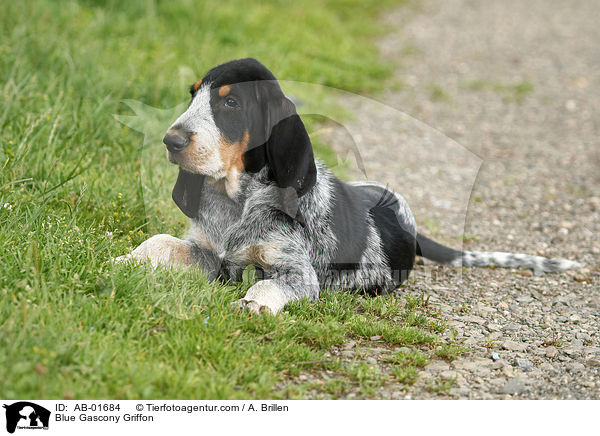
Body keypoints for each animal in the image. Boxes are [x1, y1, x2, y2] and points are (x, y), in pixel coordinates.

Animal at [116, 58, 580, 316]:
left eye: (230, 103)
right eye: (193, 95)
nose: (171, 141)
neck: (238, 200)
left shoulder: (296, 273)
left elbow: (269, 282)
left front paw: (256, 302)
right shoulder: (212, 254)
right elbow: (159, 242)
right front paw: (124, 260)